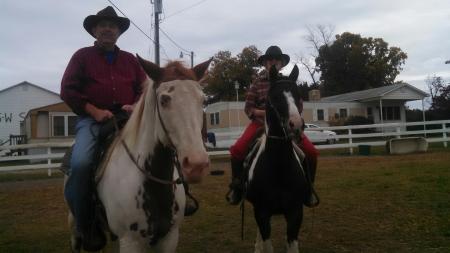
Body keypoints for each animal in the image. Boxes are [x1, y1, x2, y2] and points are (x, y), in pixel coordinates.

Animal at [65, 56, 211, 253]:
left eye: (202, 100)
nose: (197, 165)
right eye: (164, 100)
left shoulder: (169, 238)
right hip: (74, 227)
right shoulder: (130, 241)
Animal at [244, 65, 308, 253]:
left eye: (298, 95)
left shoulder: (295, 212)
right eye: (275, 97)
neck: (279, 167)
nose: (296, 125)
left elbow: (292, 245)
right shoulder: (262, 212)